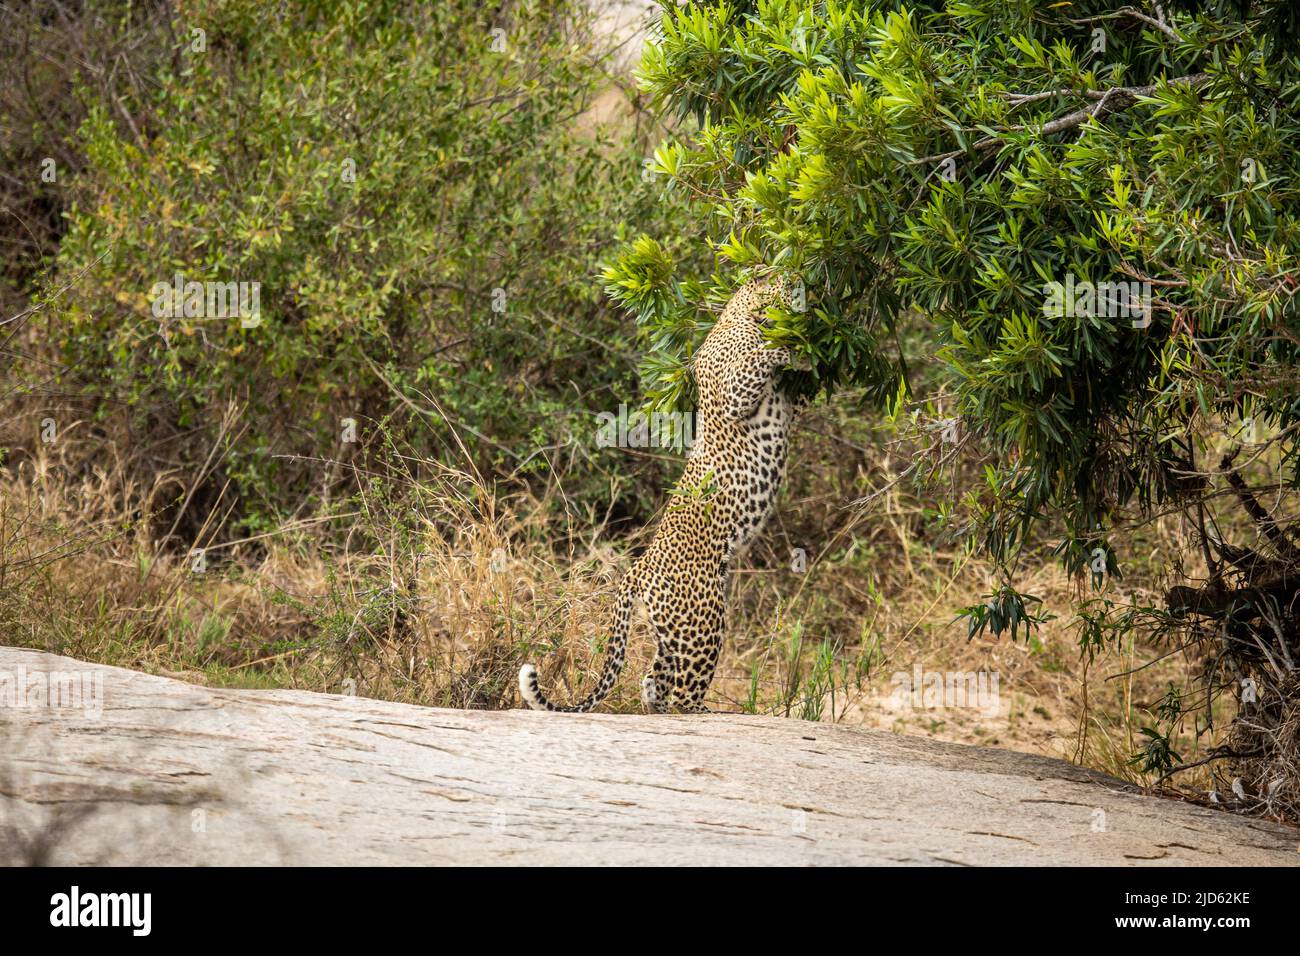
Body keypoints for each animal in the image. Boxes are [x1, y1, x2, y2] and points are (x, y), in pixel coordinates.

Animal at [519, 276, 796, 714]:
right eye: (778, 276)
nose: (797, 280)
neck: (741, 314)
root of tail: (640, 567)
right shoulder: (735, 389)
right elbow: (760, 359)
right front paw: (789, 349)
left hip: (673, 629)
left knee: (653, 682)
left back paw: (663, 710)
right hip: (704, 618)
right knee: (683, 691)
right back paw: (705, 713)